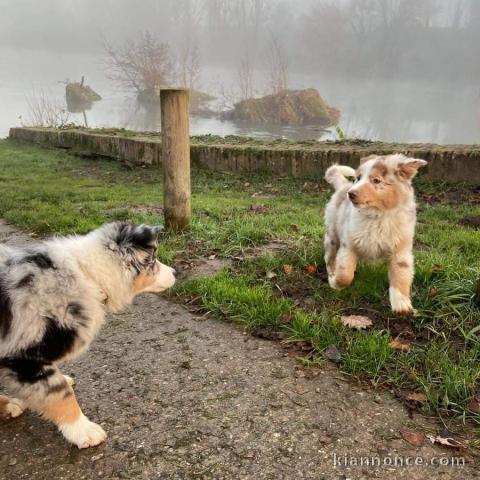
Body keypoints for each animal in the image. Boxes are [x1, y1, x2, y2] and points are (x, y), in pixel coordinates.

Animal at [0, 223, 176, 448]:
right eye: (153, 261)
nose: (175, 272)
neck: (87, 274)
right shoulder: (22, 356)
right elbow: (60, 393)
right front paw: (83, 430)